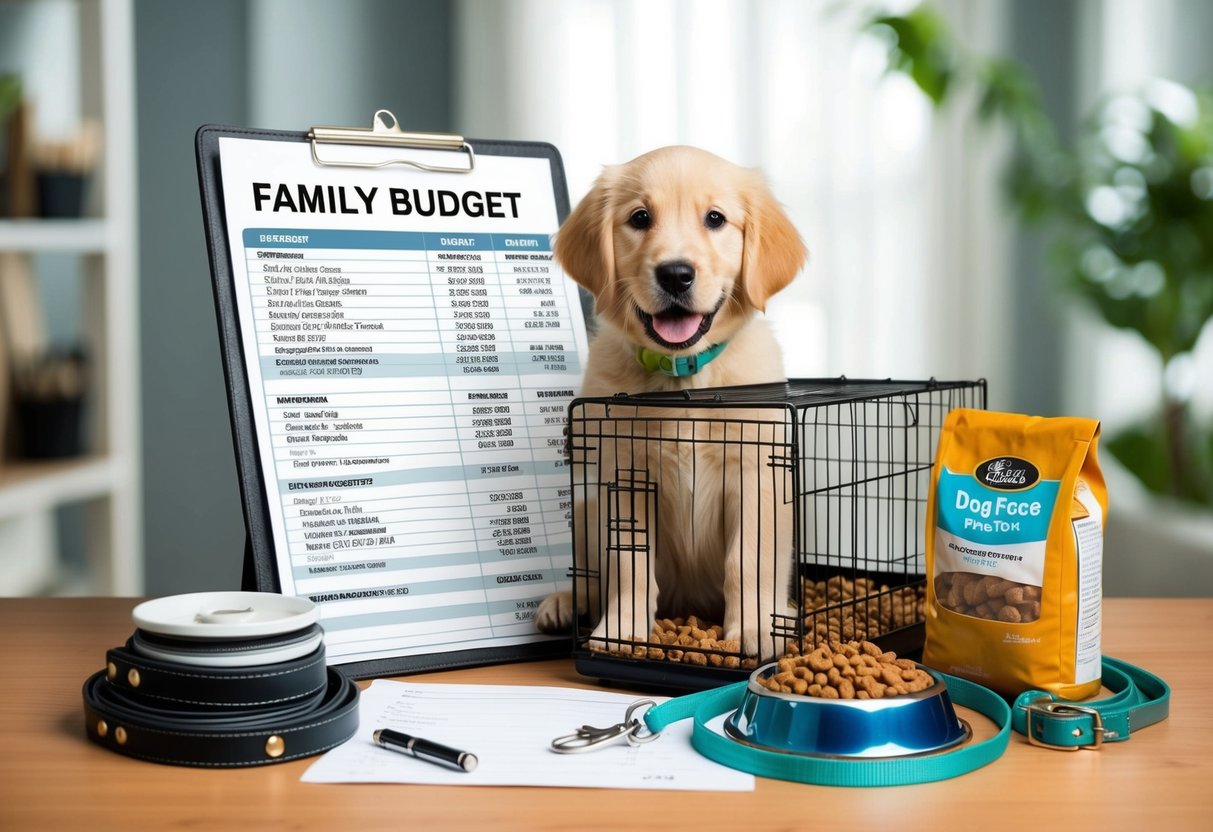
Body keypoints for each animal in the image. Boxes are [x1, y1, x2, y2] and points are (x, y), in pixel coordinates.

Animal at [538, 144, 805, 664]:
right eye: (640, 217)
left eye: (715, 218)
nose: (676, 274)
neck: (684, 380)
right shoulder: (625, 476)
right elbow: (627, 564)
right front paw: (621, 631)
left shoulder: (756, 475)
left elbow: (746, 561)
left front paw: (752, 631)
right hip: (587, 507)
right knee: (590, 574)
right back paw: (564, 601)